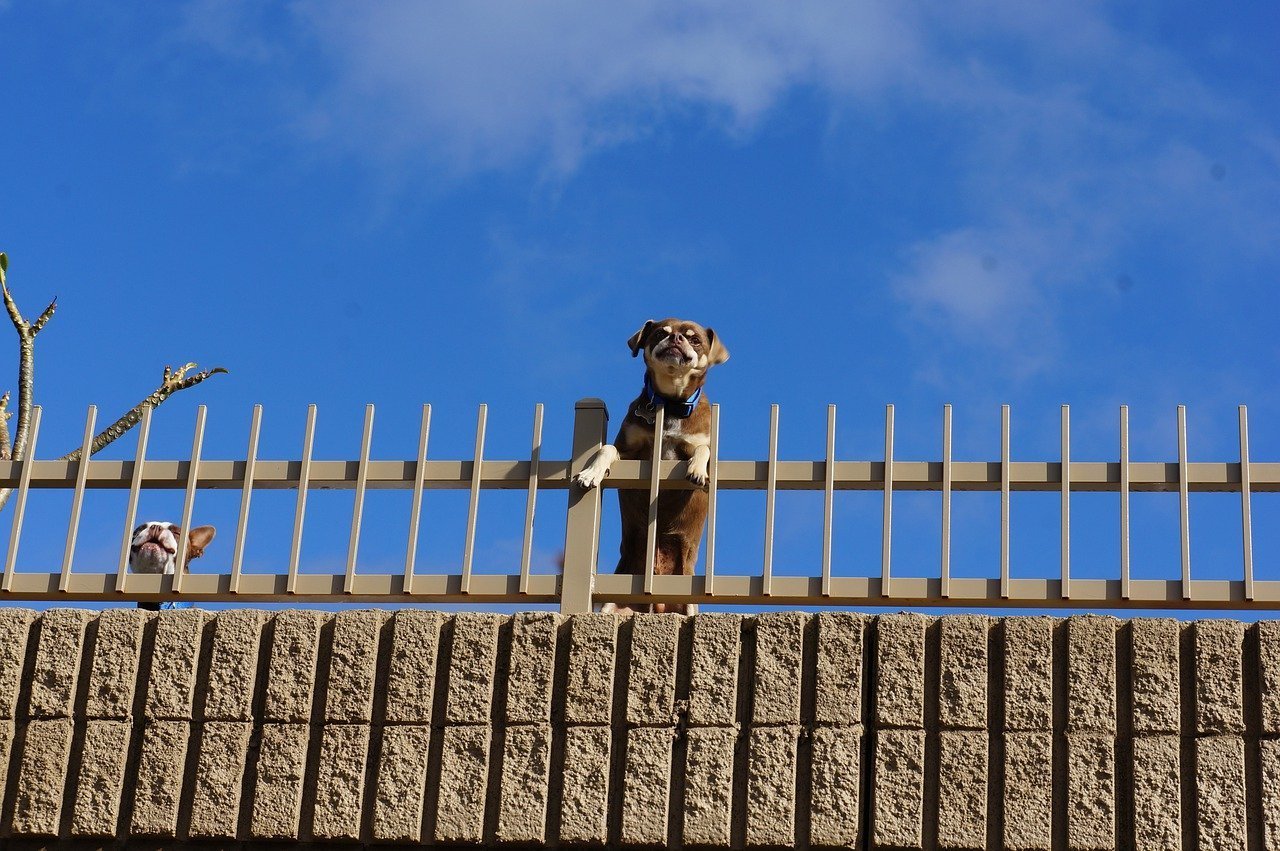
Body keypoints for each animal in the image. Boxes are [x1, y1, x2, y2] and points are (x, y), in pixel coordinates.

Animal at [573, 314, 732, 606]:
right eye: (660, 333)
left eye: (695, 339)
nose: (676, 338)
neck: (670, 404)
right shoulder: (630, 452)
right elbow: (607, 449)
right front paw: (591, 473)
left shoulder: (697, 443)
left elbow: (703, 451)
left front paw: (697, 470)